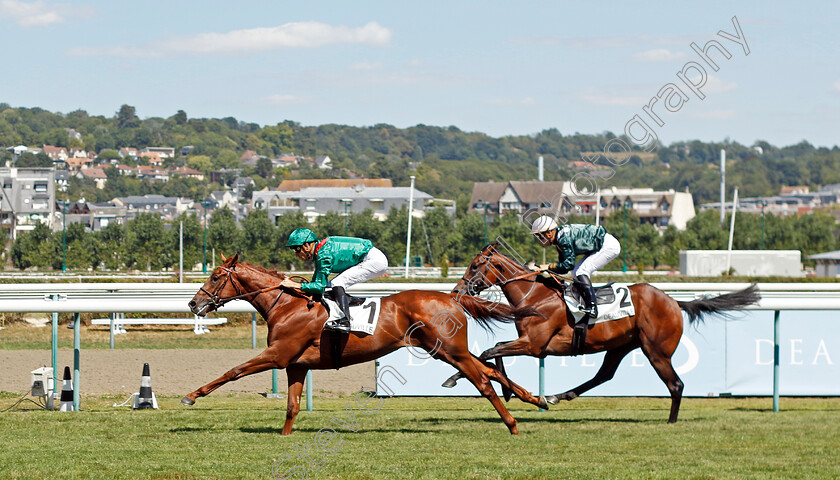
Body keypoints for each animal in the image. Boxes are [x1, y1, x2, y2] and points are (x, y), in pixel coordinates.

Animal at [182, 255, 544, 436]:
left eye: (216, 276)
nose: (193, 303)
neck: (286, 305)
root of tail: (452, 297)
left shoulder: (278, 355)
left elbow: (233, 370)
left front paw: (191, 396)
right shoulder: (296, 364)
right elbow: (292, 406)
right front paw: (284, 437)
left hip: (448, 350)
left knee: (482, 379)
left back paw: (512, 423)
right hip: (447, 351)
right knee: (489, 369)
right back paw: (535, 399)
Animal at [442, 244, 756, 424]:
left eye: (474, 265)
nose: (456, 291)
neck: (537, 296)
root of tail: (673, 301)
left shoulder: (534, 345)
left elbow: (491, 350)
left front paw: (501, 388)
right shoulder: (530, 344)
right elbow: (490, 352)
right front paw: (469, 380)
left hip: (656, 351)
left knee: (676, 385)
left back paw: (670, 422)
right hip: (620, 345)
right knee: (603, 375)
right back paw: (559, 396)